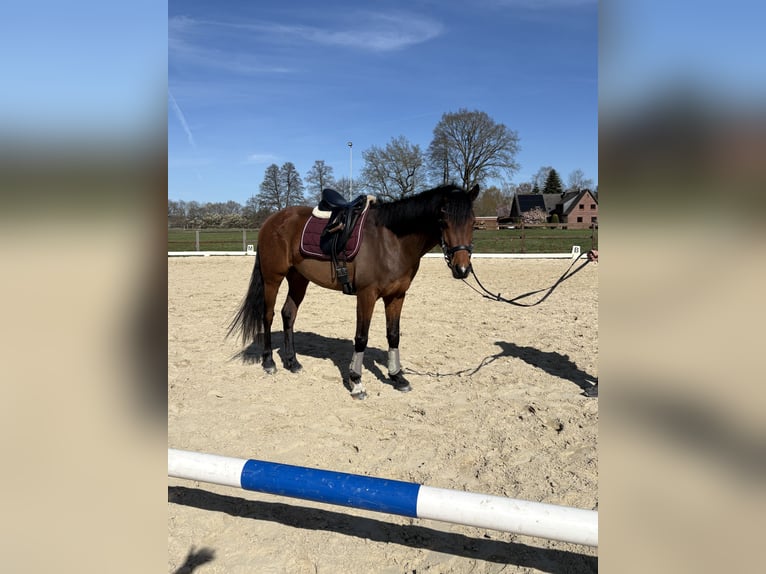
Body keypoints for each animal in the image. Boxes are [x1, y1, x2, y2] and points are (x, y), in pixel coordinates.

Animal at [228, 183, 480, 399]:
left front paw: (397, 377)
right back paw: (269, 362)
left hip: (299, 279)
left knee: (288, 314)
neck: (391, 241)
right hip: (273, 278)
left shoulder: (396, 296)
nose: (462, 269)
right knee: (268, 315)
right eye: (443, 221)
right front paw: (356, 381)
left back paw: (292, 362)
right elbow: (361, 337)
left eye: (472, 222)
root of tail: (272, 220)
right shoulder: (367, 295)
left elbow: (393, 335)